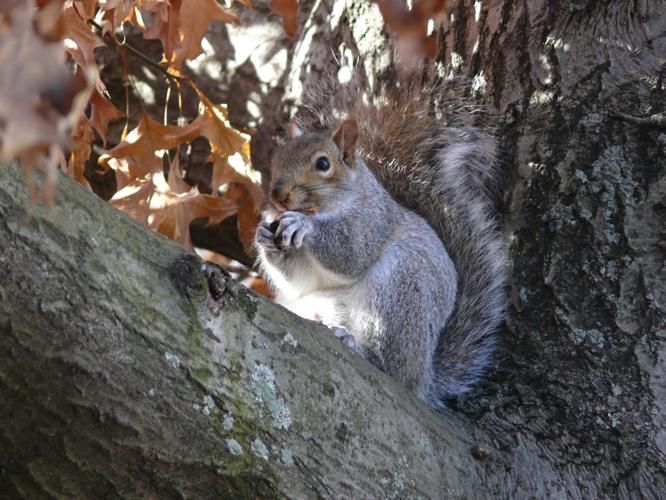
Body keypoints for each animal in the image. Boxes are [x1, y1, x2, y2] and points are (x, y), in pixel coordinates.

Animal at [253, 82, 504, 410]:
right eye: (277, 157)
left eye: (323, 164)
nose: (278, 196)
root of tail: (423, 379)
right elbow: (300, 279)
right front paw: (265, 235)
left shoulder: (374, 220)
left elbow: (352, 251)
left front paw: (303, 225)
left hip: (398, 293)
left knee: (391, 366)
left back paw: (364, 351)